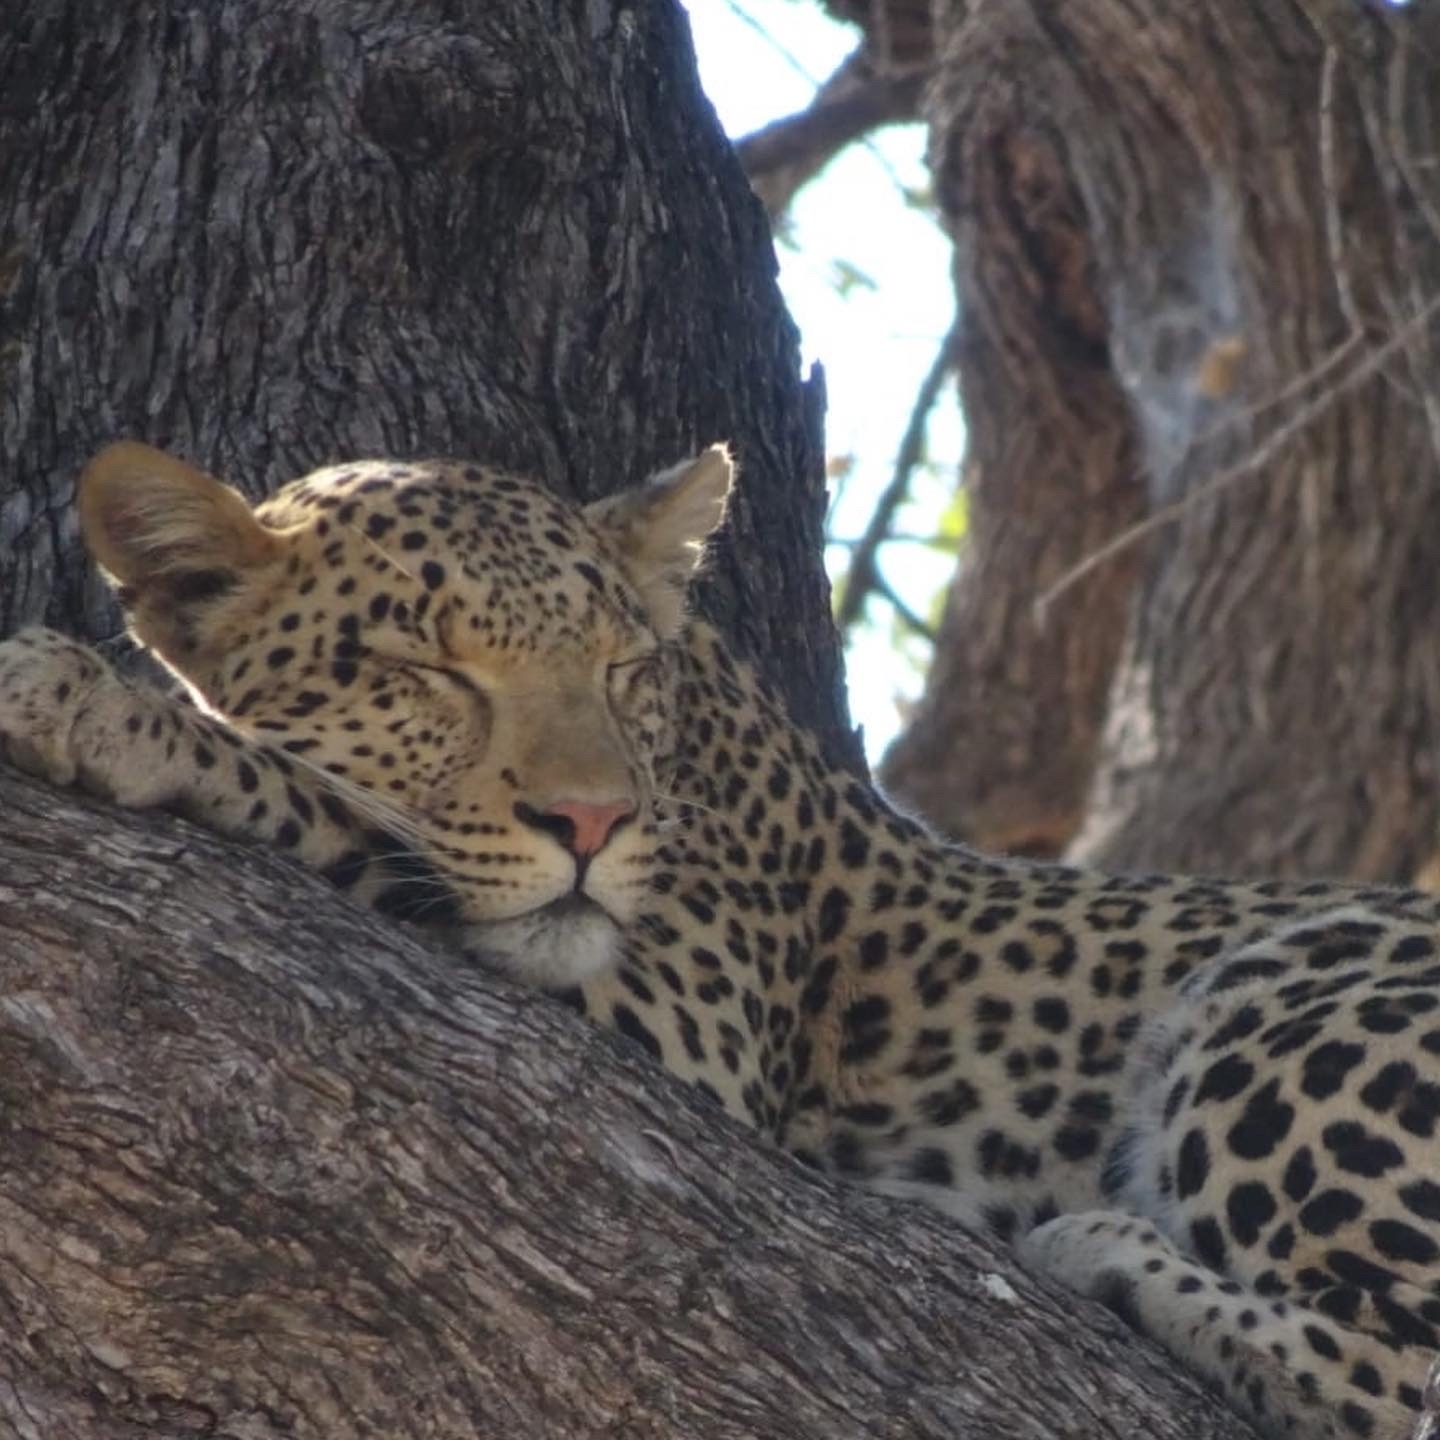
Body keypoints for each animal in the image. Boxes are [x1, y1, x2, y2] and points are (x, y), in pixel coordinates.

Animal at [2, 438, 1439, 1440]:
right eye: (424, 672)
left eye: (618, 666)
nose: (593, 820)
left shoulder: (679, 1027)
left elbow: (343, 810)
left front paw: (103, 707)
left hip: (1291, 983)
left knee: (1402, 1377)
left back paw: (1100, 1253)